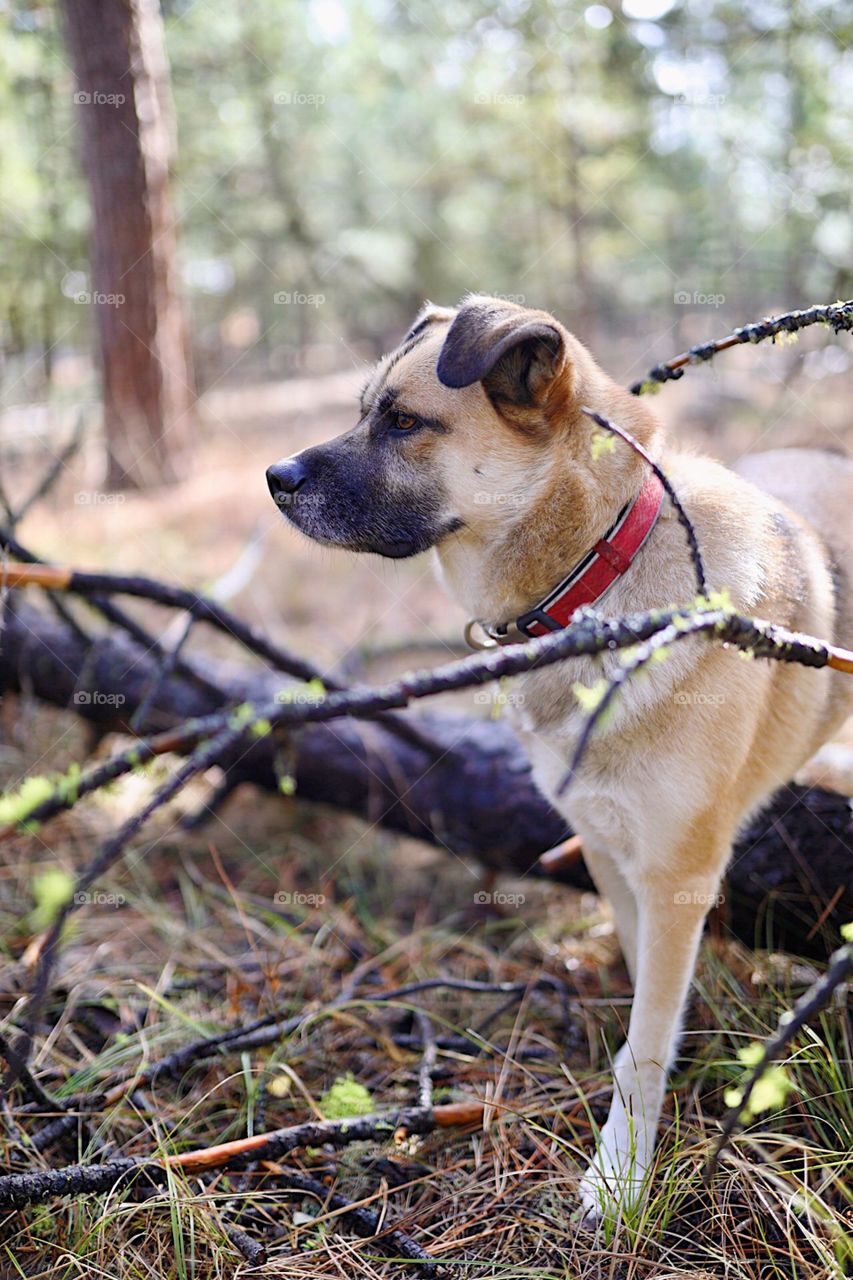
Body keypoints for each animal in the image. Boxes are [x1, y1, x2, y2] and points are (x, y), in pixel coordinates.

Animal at [267, 294, 850, 1213]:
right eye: (364, 411)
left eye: (403, 422)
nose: (273, 478)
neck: (593, 584)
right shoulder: (610, 851)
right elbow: (645, 1004)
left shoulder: (677, 871)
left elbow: (642, 1045)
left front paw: (620, 1178)